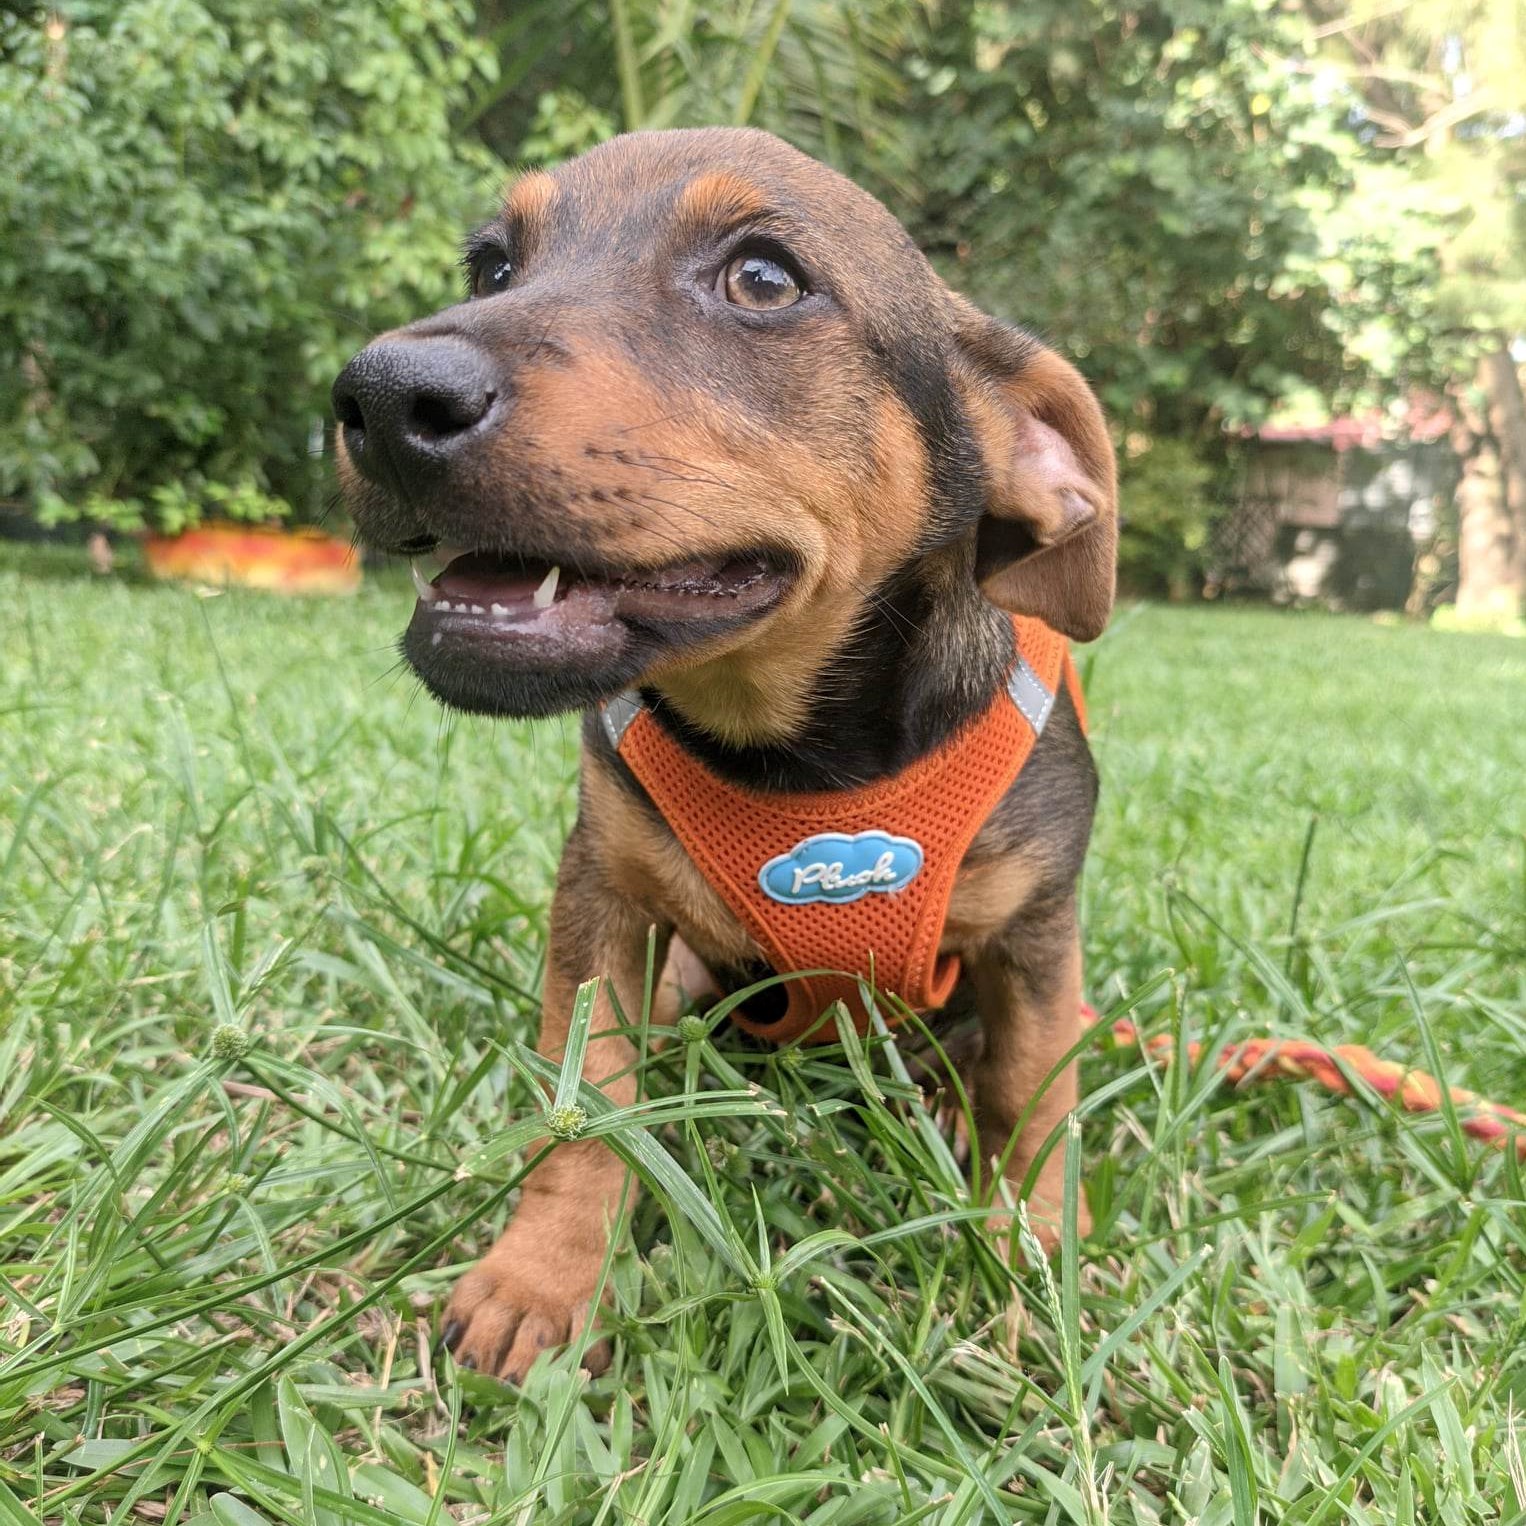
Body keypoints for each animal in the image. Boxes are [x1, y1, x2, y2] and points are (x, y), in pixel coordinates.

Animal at [337, 128, 1123, 1385]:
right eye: (491, 266)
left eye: (761, 279)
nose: (380, 394)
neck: (799, 762)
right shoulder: (601, 896)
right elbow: (586, 1103)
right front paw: (541, 1279)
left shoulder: (1039, 935)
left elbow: (1035, 1104)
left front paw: (1034, 1268)